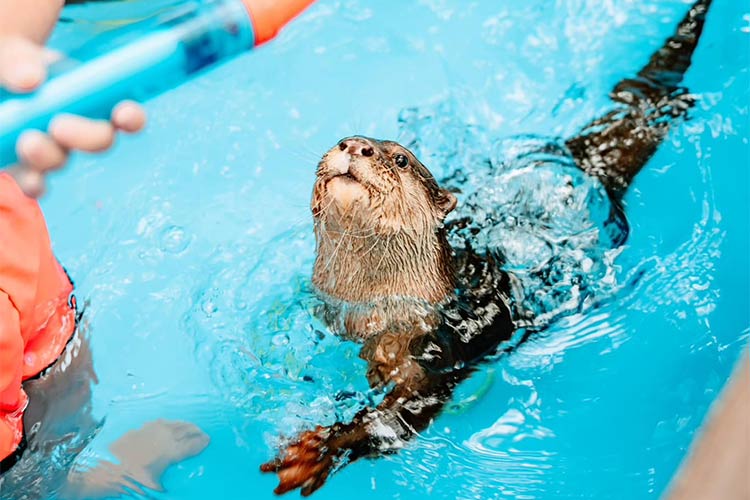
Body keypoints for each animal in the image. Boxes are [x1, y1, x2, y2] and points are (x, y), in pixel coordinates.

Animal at [261, 0, 713, 495]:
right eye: (345, 139)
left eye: (400, 159)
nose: (356, 144)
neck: (373, 306)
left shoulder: (433, 349)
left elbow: (402, 416)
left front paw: (322, 447)